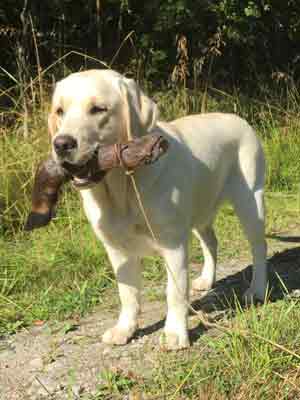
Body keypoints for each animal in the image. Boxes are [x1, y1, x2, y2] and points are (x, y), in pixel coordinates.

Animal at [49, 68, 268, 346]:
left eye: (98, 109)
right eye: (59, 111)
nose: (61, 144)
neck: (122, 188)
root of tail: (240, 119)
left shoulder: (173, 244)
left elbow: (174, 292)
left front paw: (174, 334)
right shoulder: (117, 249)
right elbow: (127, 294)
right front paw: (124, 329)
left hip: (250, 201)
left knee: (259, 247)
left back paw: (257, 289)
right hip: (199, 209)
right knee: (211, 242)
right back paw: (207, 280)